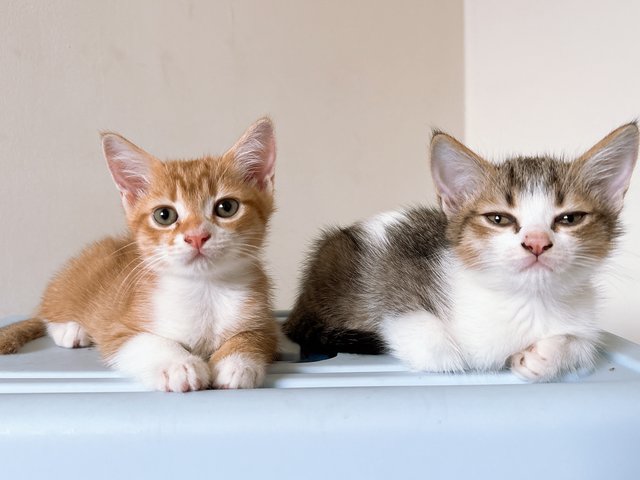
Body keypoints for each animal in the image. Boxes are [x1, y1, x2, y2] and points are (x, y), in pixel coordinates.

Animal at [0, 116, 278, 390]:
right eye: (164, 215)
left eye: (227, 207)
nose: (196, 236)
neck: (204, 289)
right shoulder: (118, 330)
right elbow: (145, 341)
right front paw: (180, 365)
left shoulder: (264, 322)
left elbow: (254, 336)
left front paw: (237, 364)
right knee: (49, 313)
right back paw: (71, 330)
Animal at [286, 124, 640, 382]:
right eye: (498, 219)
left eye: (569, 219)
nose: (537, 242)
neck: (527, 302)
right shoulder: (392, 270)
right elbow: (431, 343)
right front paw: (455, 352)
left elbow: (583, 343)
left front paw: (543, 357)